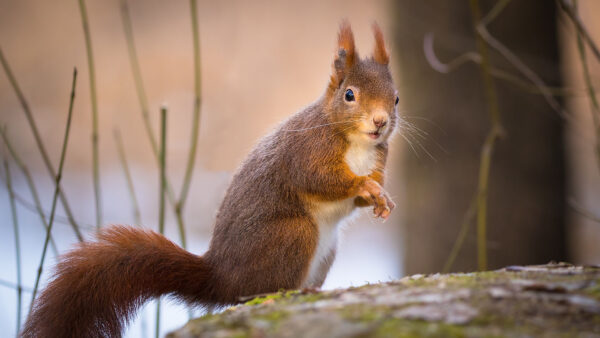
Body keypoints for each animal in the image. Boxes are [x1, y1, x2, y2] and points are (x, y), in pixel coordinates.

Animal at [21, 22, 398, 336]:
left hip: (324, 250)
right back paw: (283, 294)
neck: (359, 143)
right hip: (293, 234)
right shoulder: (307, 151)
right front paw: (365, 186)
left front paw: (382, 198)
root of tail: (222, 279)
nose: (380, 122)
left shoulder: (378, 156)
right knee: (258, 291)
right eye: (349, 95)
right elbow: (320, 179)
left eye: (395, 98)